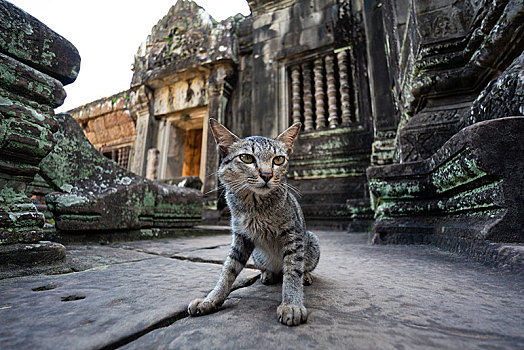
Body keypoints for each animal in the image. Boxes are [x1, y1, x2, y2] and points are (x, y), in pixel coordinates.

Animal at [187, 119, 320, 326]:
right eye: (246, 158)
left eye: (278, 160)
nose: (266, 174)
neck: (255, 206)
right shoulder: (241, 237)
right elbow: (228, 270)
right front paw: (211, 299)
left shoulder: (293, 234)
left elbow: (292, 271)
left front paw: (292, 304)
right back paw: (267, 274)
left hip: (311, 240)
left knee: (298, 268)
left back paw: (305, 275)